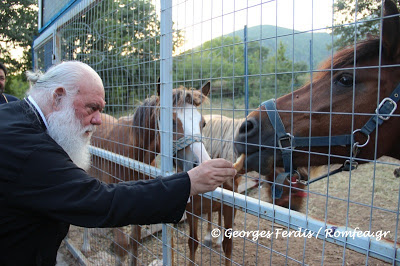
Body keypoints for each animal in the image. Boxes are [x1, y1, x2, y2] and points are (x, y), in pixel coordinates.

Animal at [86, 82, 211, 264]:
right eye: (172, 122)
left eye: (203, 123)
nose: (201, 163)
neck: (131, 155)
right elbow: (121, 246)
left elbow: (134, 241)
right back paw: (86, 246)